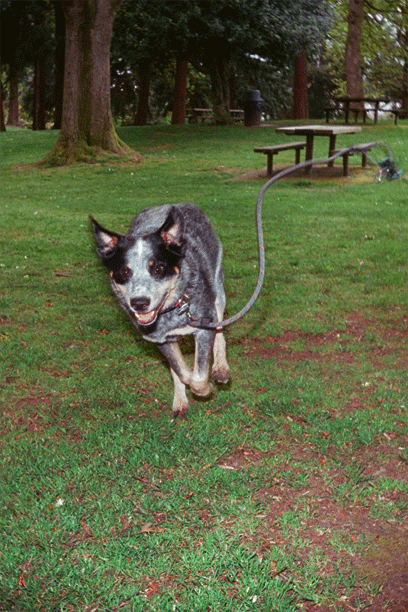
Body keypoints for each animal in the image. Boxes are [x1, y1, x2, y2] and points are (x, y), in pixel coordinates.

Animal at [91, 203, 230, 416]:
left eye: (158, 269)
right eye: (124, 272)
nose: (139, 302)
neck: (174, 308)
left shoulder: (204, 324)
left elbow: (198, 376)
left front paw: (205, 389)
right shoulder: (160, 339)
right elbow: (181, 371)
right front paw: (184, 391)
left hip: (217, 288)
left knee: (220, 328)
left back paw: (221, 368)